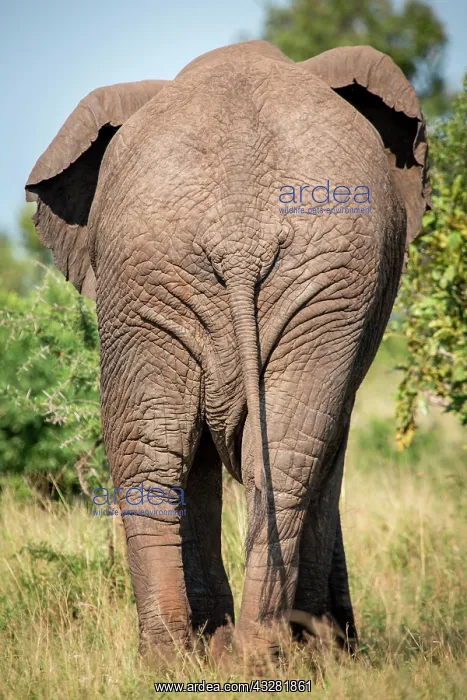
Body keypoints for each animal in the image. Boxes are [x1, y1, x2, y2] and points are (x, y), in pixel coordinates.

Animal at [25, 40, 430, 658]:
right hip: (176, 274)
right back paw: (250, 652)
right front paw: (328, 650)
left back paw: (193, 656)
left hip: (265, 277)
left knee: (177, 453)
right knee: (271, 453)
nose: (347, 640)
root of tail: (238, 239)